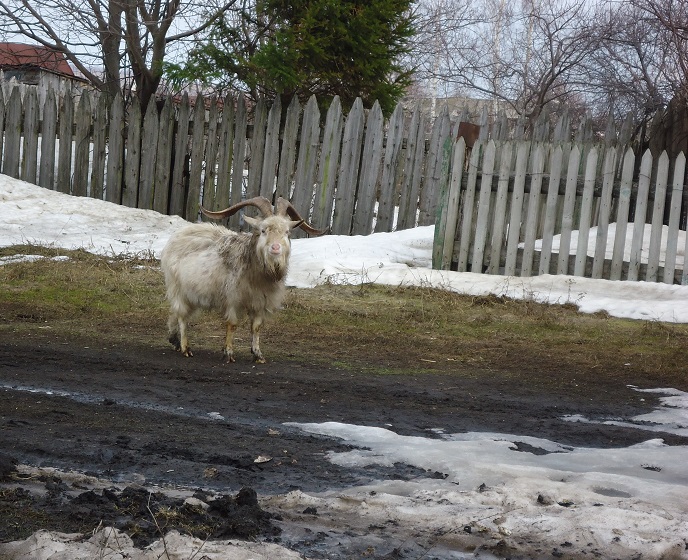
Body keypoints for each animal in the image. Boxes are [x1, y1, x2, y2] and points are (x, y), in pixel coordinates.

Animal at [160, 196, 324, 364]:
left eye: (287, 232)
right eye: (263, 230)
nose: (276, 248)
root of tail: (179, 234)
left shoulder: (260, 301)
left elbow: (256, 327)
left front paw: (258, 354)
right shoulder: (232, 297)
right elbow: (232, 324)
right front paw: (228, 353)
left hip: (193, 294)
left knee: (176, 313)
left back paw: (174, 340)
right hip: (178, 288)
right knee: (182, 316)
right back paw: (185, 347)